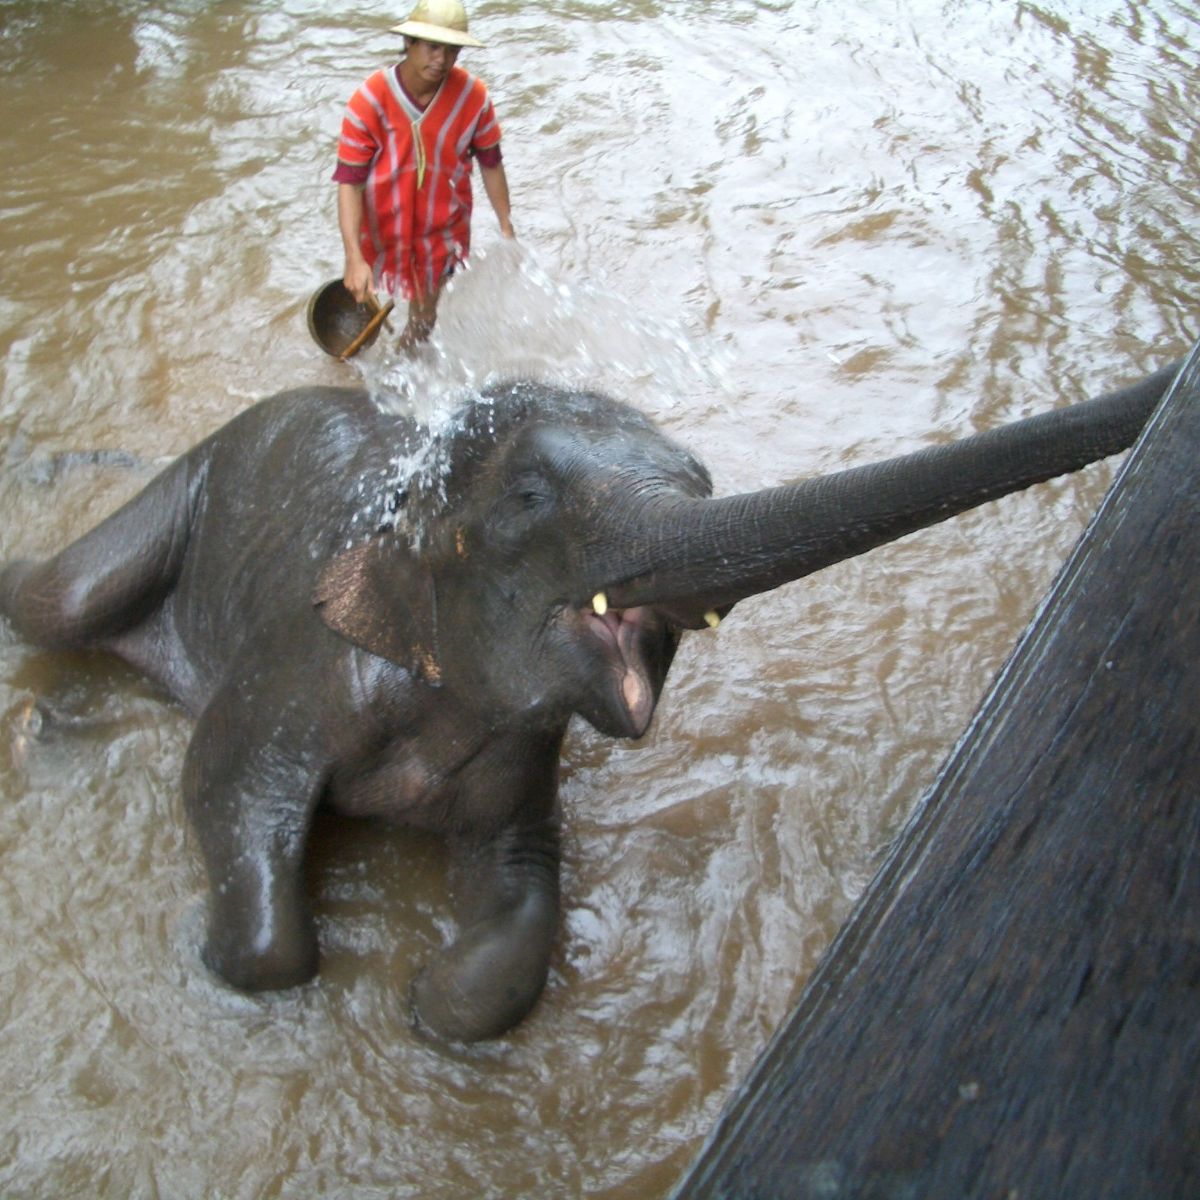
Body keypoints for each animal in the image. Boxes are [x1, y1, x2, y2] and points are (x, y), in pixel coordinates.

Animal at [0, 362, 1180, 1041]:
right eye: (531, 495)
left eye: (703, 486)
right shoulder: (302, 665)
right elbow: (226, 787)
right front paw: (247, 957)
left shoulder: (520, 748)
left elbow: (522, 876)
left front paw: (432, 1001)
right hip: (181, 499)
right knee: (60, 598)